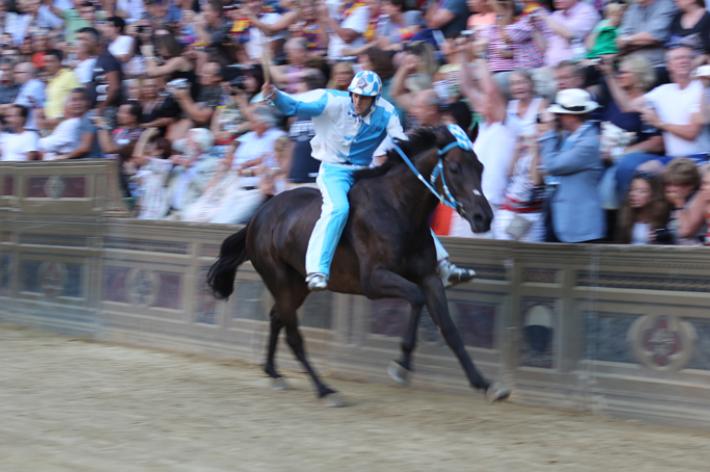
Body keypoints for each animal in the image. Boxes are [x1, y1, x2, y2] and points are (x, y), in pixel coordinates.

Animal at [209, 125, 516, 406]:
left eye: (480, 166)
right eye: (454, 167)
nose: (483, 217)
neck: (397, 208)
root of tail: (259, 215)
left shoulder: (428, 276)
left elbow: (450, 328)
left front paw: (485, 383)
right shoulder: (374, 280)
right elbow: (416, 299)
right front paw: (401, 365)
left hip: (297, 285)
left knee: (276, 318)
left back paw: (274, 373)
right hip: (279, 278)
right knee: (293, 335)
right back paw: (325, 390)